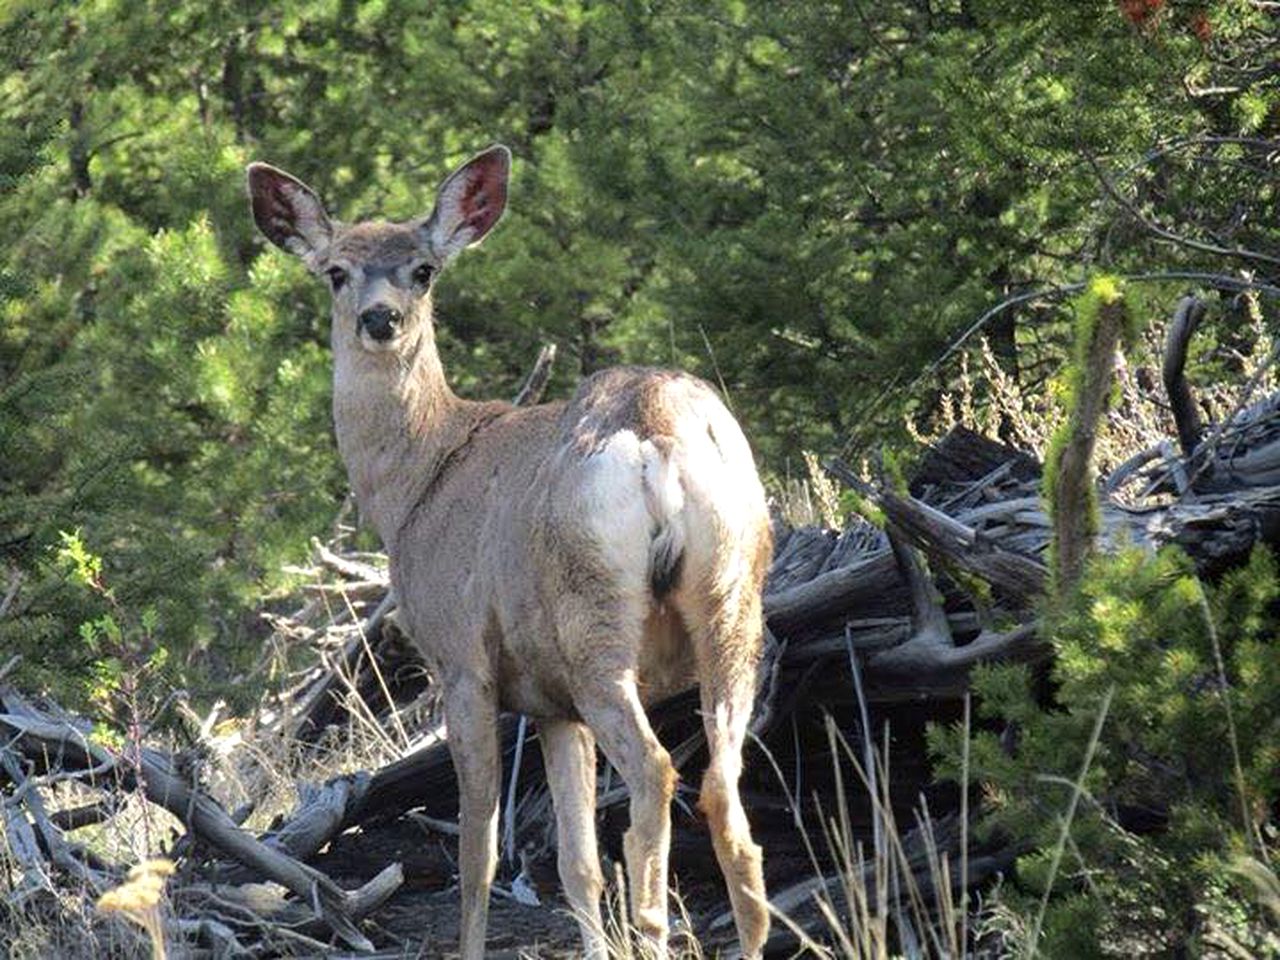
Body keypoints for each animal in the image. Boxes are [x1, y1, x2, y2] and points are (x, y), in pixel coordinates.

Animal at [247, 146, 768, 957]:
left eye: (423, 268)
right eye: (335, 270)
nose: (379, 319)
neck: (420, 479)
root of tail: (657, 433)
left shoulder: (462, 660)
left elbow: (478, 852)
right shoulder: (551, 703)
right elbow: (576, 864)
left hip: (594, 619)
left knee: (656, 772)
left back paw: (652, 923)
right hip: (732, 597)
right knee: (727, 800)